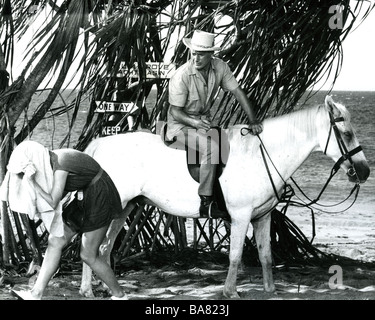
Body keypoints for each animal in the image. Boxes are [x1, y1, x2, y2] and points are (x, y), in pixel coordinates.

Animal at [79, 96, 370, 298]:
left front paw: (270, 290)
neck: (260, 155)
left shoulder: (262, 218)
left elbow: (266, 256)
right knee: (92, 246)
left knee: (103, 248)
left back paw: (102, 287)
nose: (365, 171)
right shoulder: (240, 217)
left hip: (124, 208)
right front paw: (231, 291)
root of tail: (100, 145)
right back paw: (88, 289)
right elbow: (236, 256)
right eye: (346, 134)